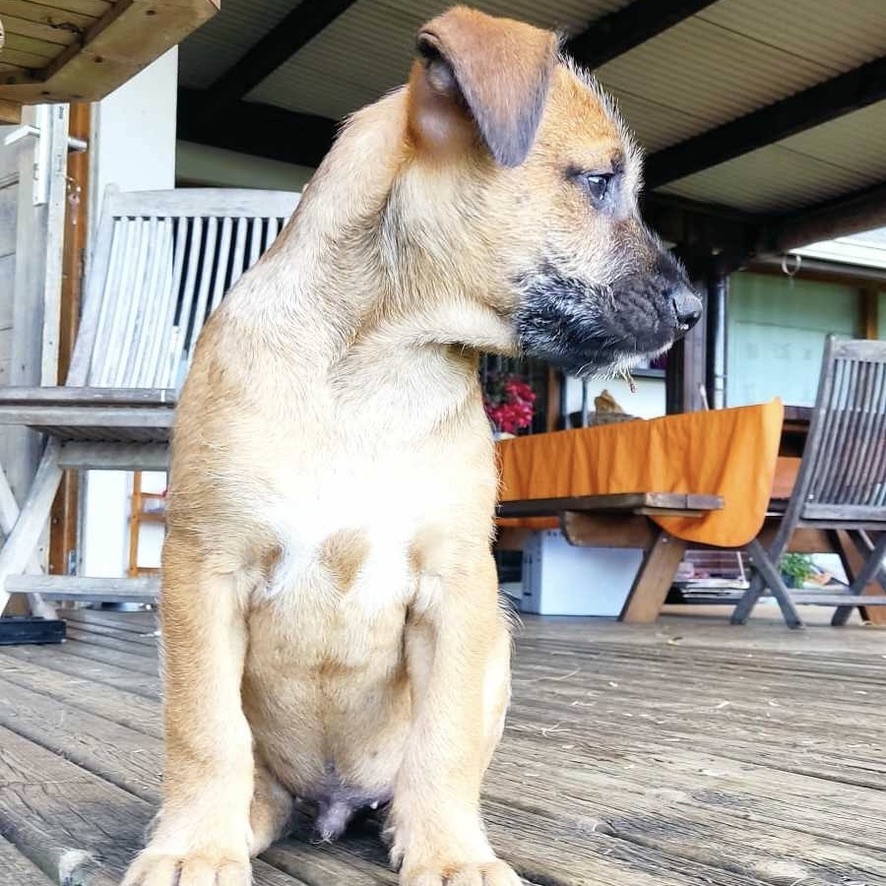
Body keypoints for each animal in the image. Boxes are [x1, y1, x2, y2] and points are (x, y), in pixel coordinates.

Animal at [123, 8, 700, 886]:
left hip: (499, 648)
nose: (694, 309)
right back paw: (244, 820)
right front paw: (192, 846)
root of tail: (330, 804)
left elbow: (445, 741)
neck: (376, 362)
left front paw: (452, 853)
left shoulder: (458, 587)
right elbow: (204, 729)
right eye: (598, 181)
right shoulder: (203, 567)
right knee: (256, 775)